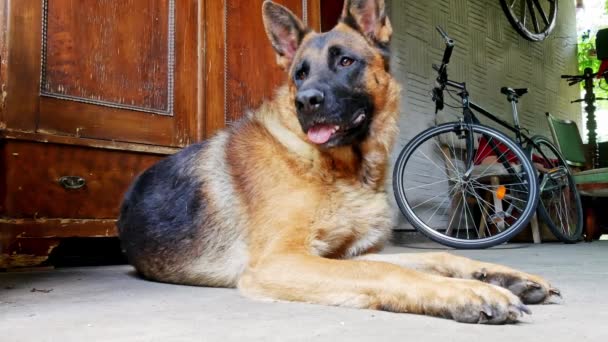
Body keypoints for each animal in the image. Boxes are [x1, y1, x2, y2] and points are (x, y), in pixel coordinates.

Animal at [119, 0, 560, 324]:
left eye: (345, 62)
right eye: (299, 74)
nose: (305, 102)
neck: (343, 171)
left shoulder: (344, 256)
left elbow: (438, 256)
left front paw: (500, 276)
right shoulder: (281, 261)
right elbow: (390, 271)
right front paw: (469, 292)